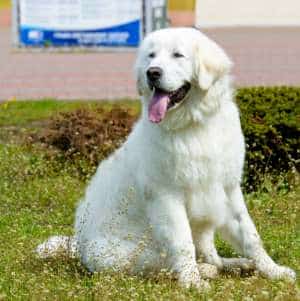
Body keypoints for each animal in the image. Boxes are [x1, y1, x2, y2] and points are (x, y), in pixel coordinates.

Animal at [37, 28, 296, 288]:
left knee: (211, 255)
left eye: (177, 55)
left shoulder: (228, 190)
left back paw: (236, 264)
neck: (193, 125)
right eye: (151, 56)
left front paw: (274, 270)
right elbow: (182, 245)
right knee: (164, 265)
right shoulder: (167, 197)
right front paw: (192, 282)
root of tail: (77, 246)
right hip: (131, 254)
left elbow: (251, 235)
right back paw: (205, 270)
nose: (152, 72)